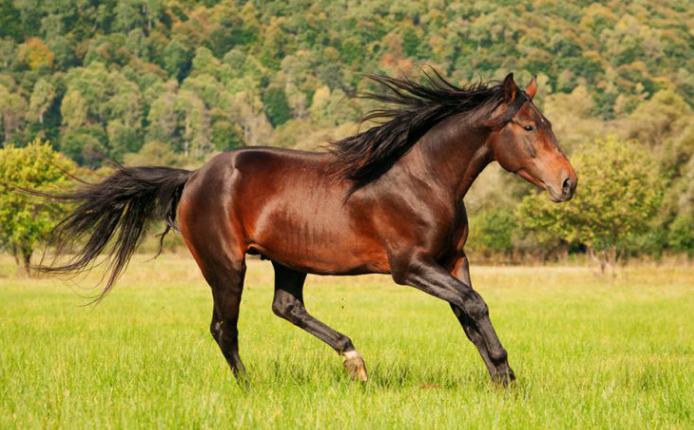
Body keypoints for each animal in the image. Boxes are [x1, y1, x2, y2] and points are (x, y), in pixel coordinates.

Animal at [40, 71, 580, 386]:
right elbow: (474, 305)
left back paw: (354, 361)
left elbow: (469, 314)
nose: (568, 183)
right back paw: (250, 387)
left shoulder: (453, 260)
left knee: (286, 307)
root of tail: (192, 177)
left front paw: (502, 379)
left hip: (288, 260)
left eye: (548, 123)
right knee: (224, 327)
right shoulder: (411, 268)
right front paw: (506, 374)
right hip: (226, 265)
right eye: (529, 127)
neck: (421, 178)